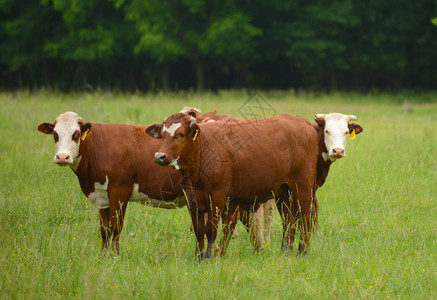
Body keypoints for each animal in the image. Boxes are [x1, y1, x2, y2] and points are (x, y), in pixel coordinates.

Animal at [146, 112, 316, 260]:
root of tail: (301, 121)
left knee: (305, 217)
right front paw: (198, 257)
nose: (159, 156)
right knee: (288, 221)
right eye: (162, 134)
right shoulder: (192, 200)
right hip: (283, 192)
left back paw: (302, 252)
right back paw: (285, 253)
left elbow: (211, 231)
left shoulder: (217, 197)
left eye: (181, 134)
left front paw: (207, 258)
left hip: (302, 187)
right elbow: (199, 232)